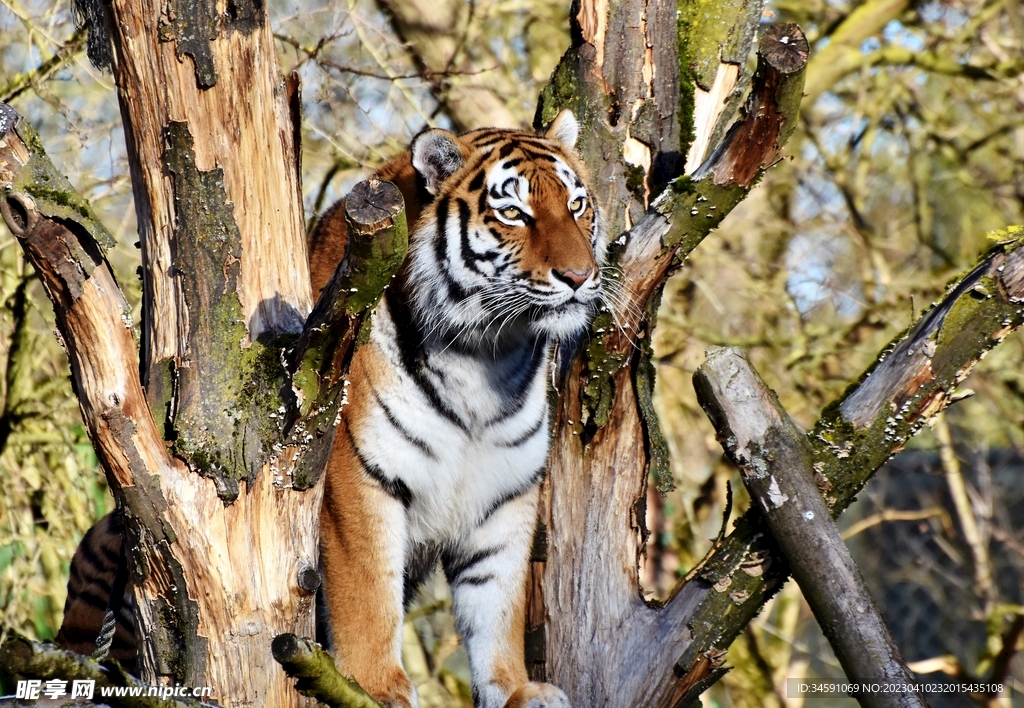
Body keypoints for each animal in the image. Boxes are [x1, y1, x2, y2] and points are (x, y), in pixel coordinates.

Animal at [55, 109, 605, 708]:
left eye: (577, 205)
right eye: (513, 213)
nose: (580, 278)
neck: (485, 359)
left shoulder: (506, 493)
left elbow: (497, 604)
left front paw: (516, 689)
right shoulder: (356, 476)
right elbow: (369, 594)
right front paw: (376, 688)